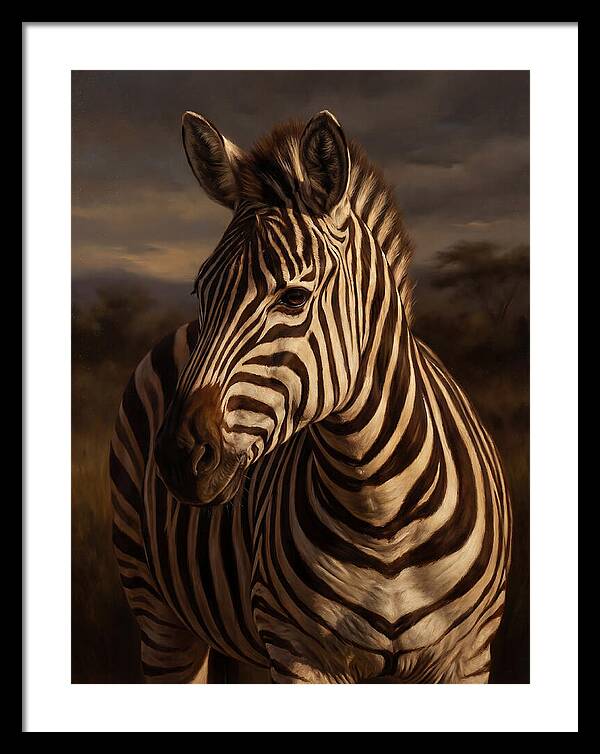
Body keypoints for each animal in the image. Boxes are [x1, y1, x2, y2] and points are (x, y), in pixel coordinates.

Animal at [109, 110, 512, 684]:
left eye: (295, 297)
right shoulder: (300, 653)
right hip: (158, 610)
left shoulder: (467, 657)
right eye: (200, 291)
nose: (178, 456)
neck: (380, 511)